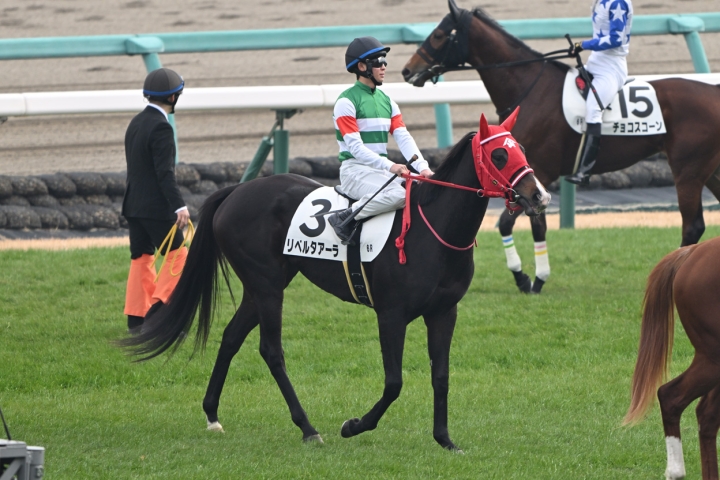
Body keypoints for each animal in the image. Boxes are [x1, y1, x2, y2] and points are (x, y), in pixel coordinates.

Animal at [121, 109, 551, 450]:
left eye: (521, 149)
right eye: (499, 153)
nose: (540, 196)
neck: (433, 229)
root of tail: (237, 190)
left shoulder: (444, 312)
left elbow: (441, 375)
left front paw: (444, 439)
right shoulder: (391, 314)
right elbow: (394, 382)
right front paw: (354, 425)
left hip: (265, 284)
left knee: (231, 337)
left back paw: (212, 414)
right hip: (267, 285)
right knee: (271, 350)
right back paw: (308, 428)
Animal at [402, 0, 720, 293]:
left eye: (439, 35)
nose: (407, 71)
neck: (531, 88)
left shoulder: (537, 172)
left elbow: (516, 224)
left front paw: (529, 278)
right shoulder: (526, 177)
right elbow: (529, 224)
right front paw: (531, 276)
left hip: (688, 172)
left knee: (692, 225)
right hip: (709, 171)